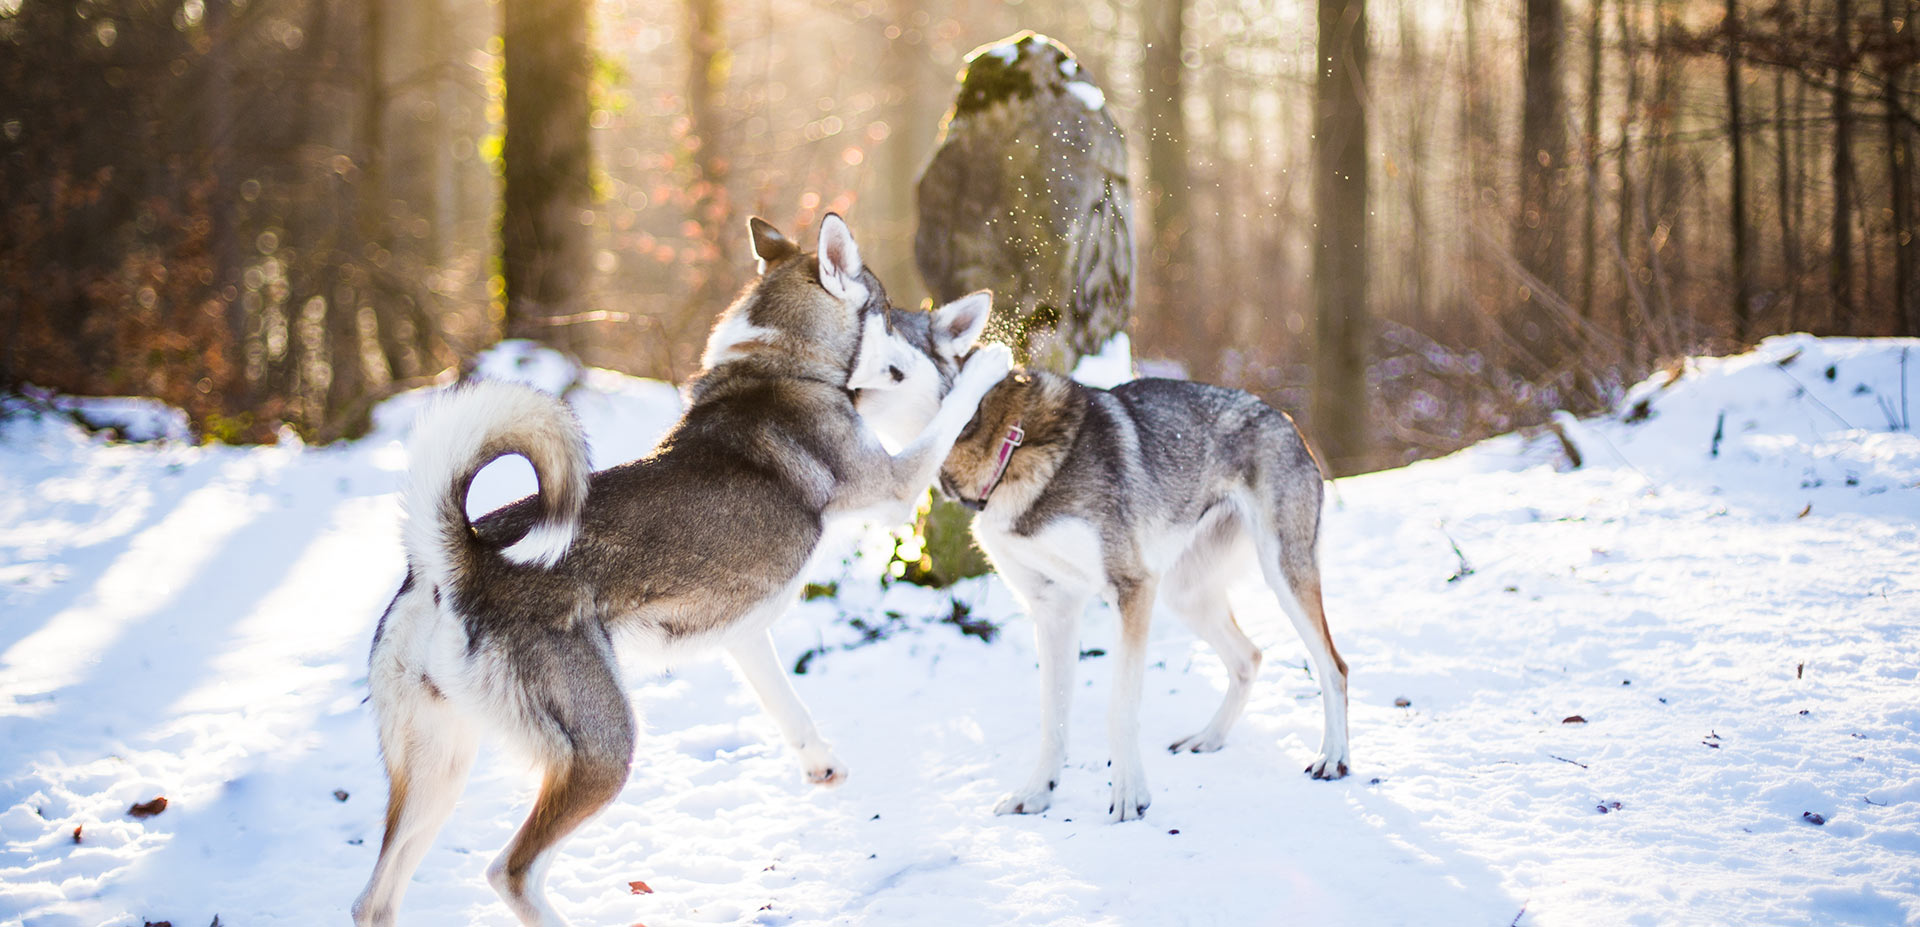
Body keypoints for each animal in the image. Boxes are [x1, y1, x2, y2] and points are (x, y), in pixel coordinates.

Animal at [355, 212, 1013, 927]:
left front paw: (821, 766)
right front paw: (988, 366)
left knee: (373, 900)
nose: (910, 324)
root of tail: (455, 564)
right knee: (512, 870)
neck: (782, 362)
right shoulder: (894, 488)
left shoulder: (745, 636)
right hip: (603, 751)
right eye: (888, 313)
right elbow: (942, 426)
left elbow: (790, 707)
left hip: (439, 768)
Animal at [856, 345, 1351, 825]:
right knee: (1249, 658)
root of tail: (1282, 417)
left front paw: (1129, 797)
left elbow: (1120, 709)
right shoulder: (1053, 608)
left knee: (1334, 667)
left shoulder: (1131, 589)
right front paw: (1037, 795)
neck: (1011, 446)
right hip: (1184, 595)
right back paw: (1208, 738)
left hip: (1281, 572)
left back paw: (1333, 758)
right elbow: (1053, 719)